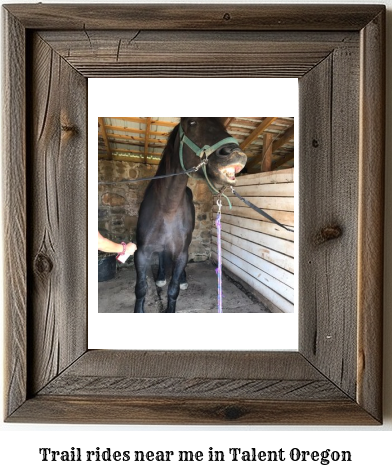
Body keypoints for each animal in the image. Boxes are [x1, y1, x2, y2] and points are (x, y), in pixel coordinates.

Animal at [134, 117, 245, 312]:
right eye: (192, 122)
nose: (235, 154)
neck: (168, 209)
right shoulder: (140, 252)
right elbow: (141, 288)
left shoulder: (181, 253)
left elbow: (173, 288)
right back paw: (160, 277)